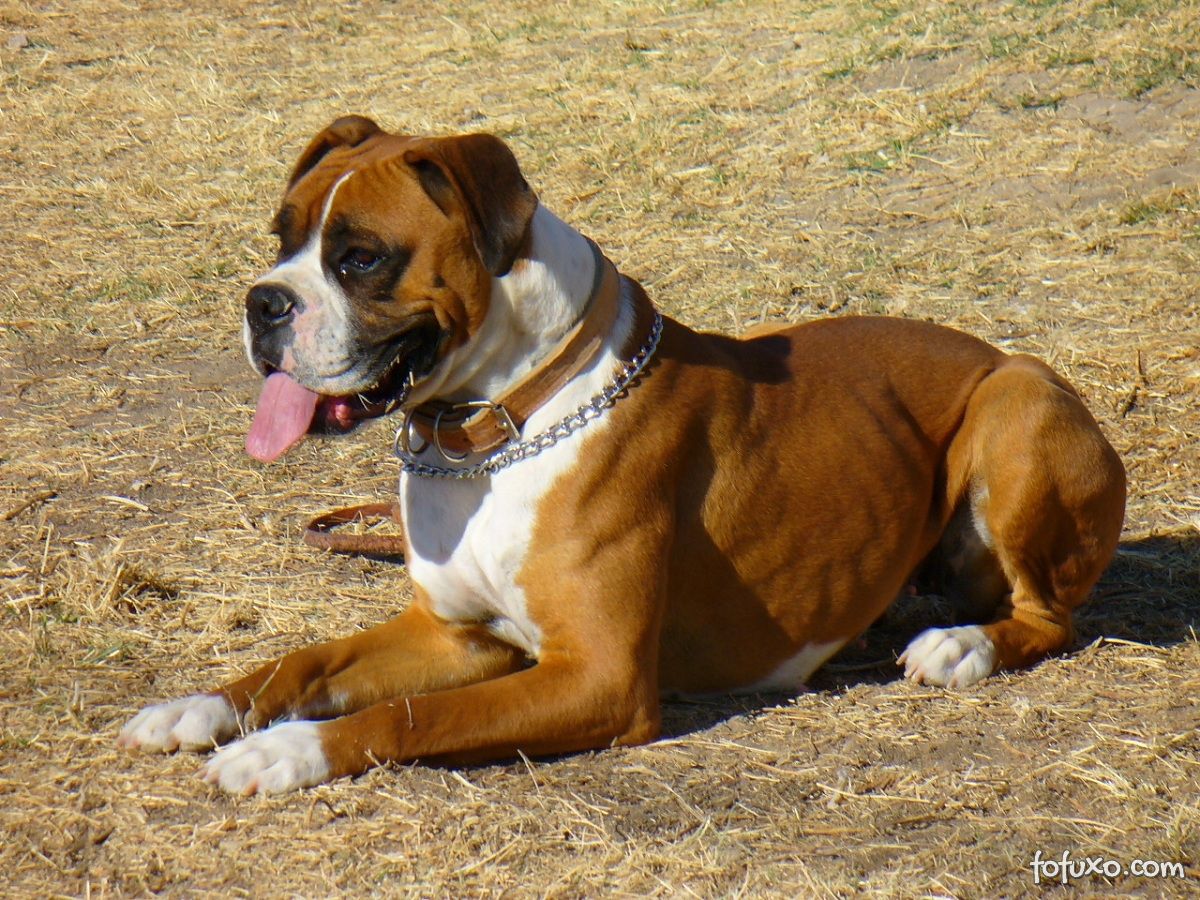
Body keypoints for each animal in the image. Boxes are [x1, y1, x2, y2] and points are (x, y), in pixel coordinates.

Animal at [117, 114, 1128, 796]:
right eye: (282, 238)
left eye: (360, 258)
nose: (262, 302)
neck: (494, 432)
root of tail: (998, 353)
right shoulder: (456, 635)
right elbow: (306, 663)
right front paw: (205, 707)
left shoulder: (595, 679)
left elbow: (412, 715)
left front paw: (281, 750)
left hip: (1017, 403)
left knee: (1048, 616)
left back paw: (961, 646)